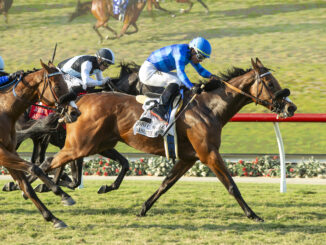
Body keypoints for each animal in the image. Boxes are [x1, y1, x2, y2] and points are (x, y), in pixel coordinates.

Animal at [0, 59, 80, 228]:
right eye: (57, 87)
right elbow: (35, 168)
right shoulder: (2, 153)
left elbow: (26, 186)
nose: (74, 112)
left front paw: (53, 218)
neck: (4, 111)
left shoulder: (9, 151)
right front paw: (60, 192)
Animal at [37, 58, 296, 221]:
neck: (209, 107)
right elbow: (232, 185)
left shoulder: (190, 157)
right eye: (270, 83)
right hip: (82, 145)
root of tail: (79, 101)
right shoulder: (209, 153)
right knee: (46, 163)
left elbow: (166, 183)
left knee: (50, 163)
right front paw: (253, 214)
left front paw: (143, 208)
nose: (291, 107)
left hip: (96, 144)